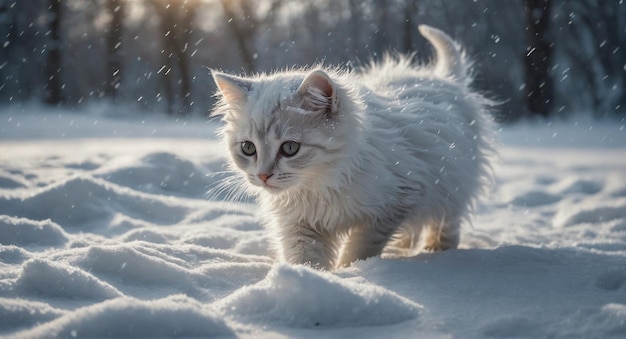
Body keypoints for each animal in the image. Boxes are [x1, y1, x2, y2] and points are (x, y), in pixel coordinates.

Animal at [212, 25, 494, 270]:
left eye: (290, 148)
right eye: (248, 149)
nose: (263, 175)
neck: (321, 184)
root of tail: (443, 78)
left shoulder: (396, 201)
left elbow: (360, 247)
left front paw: (352, 272)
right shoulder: (299, 225)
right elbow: (306, 258)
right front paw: (309, 278)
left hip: (453, 184)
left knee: (446, 220)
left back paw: (437, 250)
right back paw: (404, 245)